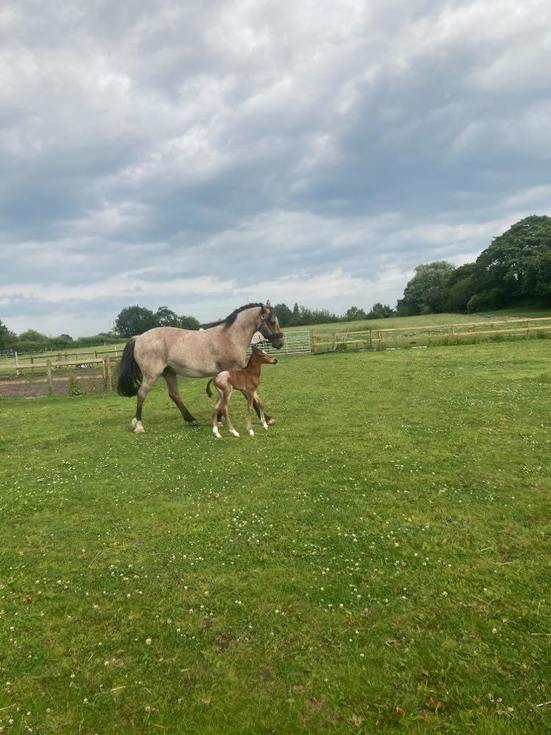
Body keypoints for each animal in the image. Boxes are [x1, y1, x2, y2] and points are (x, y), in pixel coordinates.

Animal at [117, 302, 284, 434]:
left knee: (174, 395)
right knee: (141, 394)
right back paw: (139, 425)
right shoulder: (235, 372)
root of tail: (138, 338)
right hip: (151, 375)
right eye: (272, 320)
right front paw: (267, 419)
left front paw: (219, 419)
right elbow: (250, 396)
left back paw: (192, 420)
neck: (230, 337)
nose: (280, 342)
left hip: (169, 373)